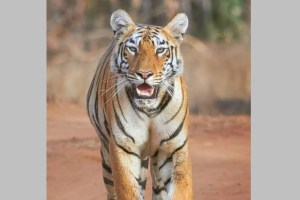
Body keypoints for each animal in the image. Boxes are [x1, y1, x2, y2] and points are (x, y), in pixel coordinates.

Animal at [86, 9, 193, 198]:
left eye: (160, 50)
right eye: (133, 49)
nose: (144, 74)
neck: (150, 109)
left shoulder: (174, 149)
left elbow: (181, 189)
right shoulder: (123, 148)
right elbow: (127, 189)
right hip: (107, 155)